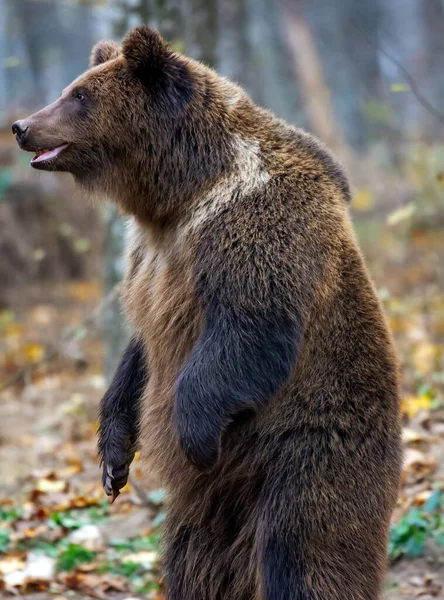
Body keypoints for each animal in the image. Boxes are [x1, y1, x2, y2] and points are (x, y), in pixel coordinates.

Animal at [13, 25, 402, 600]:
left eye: (79, 95)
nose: (21, 126)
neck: (180, 192)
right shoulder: (147, 259)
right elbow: (141, 347)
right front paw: (112, 461)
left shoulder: (251, 226)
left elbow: (249, 330)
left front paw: (193, 436)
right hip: (204, 521)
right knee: (193, 567)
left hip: (310, 451)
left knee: (305, 552)